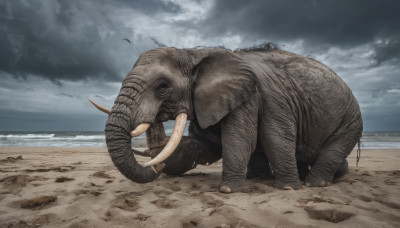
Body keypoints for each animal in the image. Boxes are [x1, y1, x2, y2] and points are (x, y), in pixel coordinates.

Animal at [90, 44, 362, 192]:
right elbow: (208, 145)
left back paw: (314, 184)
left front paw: (234, 190)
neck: (195, 53)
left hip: (351, 119)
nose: (156, 167)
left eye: (163, 87)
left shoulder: (254, 95)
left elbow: (253, 138)